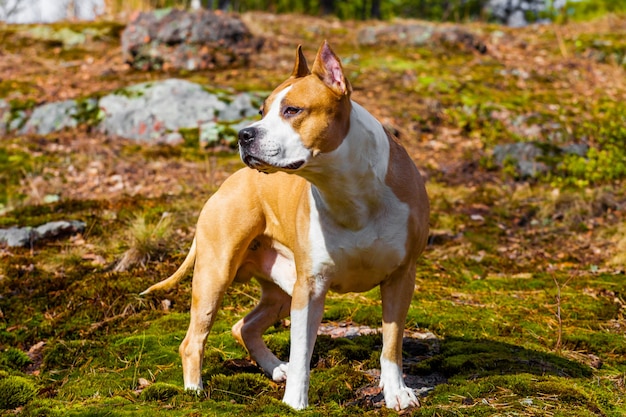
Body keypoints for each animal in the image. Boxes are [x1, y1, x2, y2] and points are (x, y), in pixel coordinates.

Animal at [139, 42, 426, 410]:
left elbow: (392, 342)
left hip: (280, 289)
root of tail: (226, 184)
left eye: (292, 110)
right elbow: (302, 350)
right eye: (262, 111)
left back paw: (275, 368)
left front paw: (397, 391)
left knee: (243, 326)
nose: (244, 134)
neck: (348, 188)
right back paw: (195, 390)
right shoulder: (310, 288)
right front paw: (295, 403)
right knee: (193, 341)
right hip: (215, 275)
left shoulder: (401, 277)